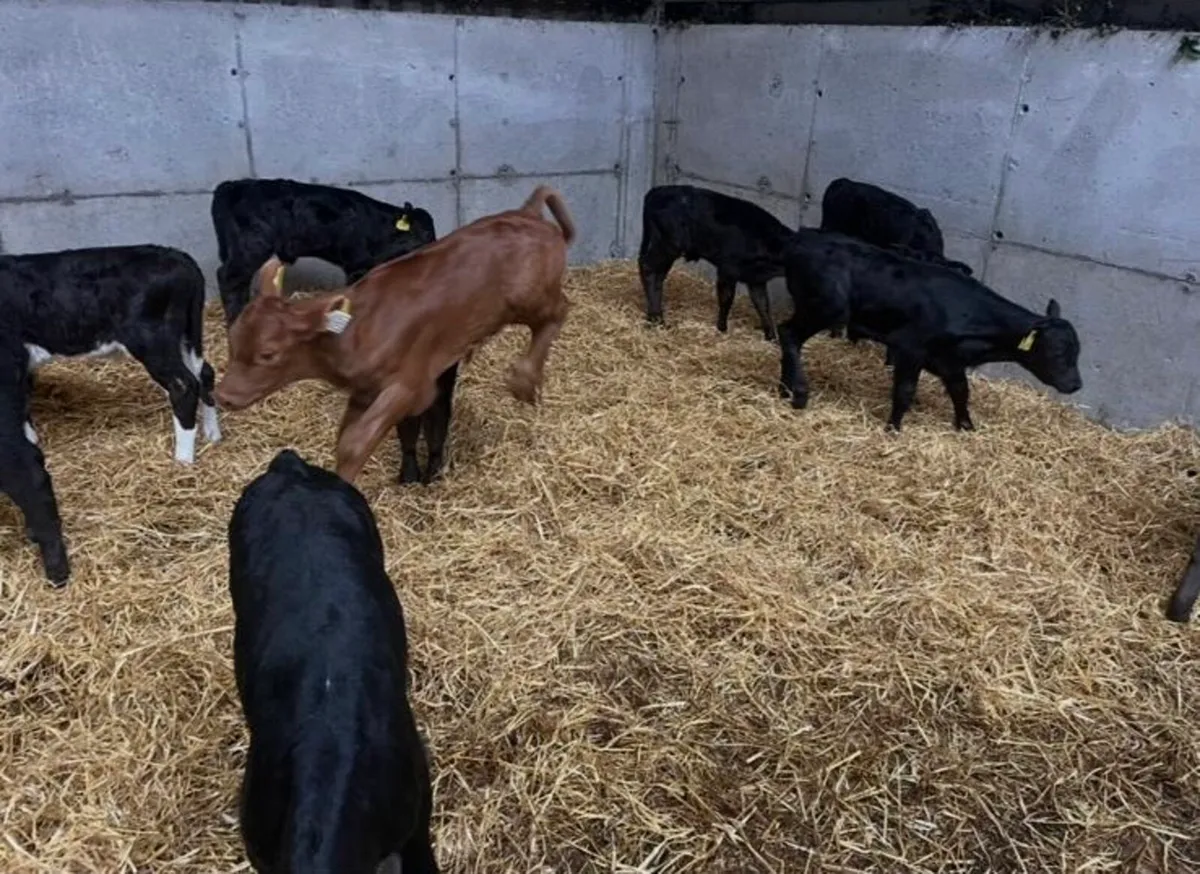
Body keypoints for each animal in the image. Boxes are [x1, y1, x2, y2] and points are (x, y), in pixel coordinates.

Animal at [1, 244, 221, 465]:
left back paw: (182, 461)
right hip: (186, 337)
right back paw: (212, 434)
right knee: (204, 373)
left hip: (152, 340)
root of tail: (177, 255)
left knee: (184, 385)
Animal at [211, 178, 437, 326]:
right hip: (251, 247)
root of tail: (232, 185)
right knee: (228, 279)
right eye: (426, 233)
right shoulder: (355, 265)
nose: (436, 245)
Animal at [638, 184, 794, 342]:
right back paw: (657, 320)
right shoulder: (727, 269)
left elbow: (763, 305)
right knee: (648, 267)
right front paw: (722, 328)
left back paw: (655, 316)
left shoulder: (756, 279)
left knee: (658, 275)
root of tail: (658, 190)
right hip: (669, 244)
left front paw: (771, 337)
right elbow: (726, 298)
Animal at [777, 228, 1082, 431]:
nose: (1076, 384)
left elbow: (961, 392)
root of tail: (802, 237)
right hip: (825, 308)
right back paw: (799, 392)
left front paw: (967, 426)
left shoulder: (949, 361)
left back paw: (784, 389)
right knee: (788, 334)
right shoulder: (910, 348)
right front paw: (893, 428)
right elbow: (905, 391)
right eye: (1058, 352)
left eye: (1077, 351)